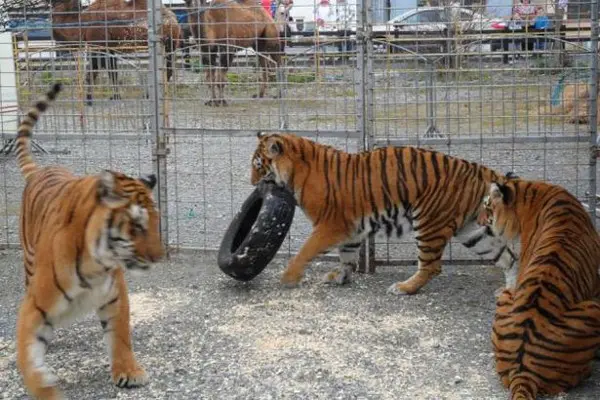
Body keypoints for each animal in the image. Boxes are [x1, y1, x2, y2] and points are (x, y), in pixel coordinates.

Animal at [13, 83, 164, 398]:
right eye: (136, 225)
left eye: (156, 222)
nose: (160, 256)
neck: (97, 265)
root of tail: (41, 169)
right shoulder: (35, 304)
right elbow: (28, 356)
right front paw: (45, 390)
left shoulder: (116, 294)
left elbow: (120, 336)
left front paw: (129, 372)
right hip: (29, 266)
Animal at [50, 0, 182, 105]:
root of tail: (174, 18)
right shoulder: (109, 49)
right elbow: (113, 72)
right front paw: (115, 97)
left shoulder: (98, 46)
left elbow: (92, 73)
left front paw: (89, 100)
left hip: (168, 41)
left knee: (168, 69)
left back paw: (150, 95)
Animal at [251, 132, 516, 294]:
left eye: (258, 166)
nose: (252, 183)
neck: (295, 173)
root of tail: (479, 169)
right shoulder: (351, 229)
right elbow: (347, 256)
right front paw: (340, 277)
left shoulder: (330, 225)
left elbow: (305, 251)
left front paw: (288, 278)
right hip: (473, 232)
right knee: (509, 258)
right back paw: (508, 291)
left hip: (429, 224)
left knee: (431, 266)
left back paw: (404, 288)